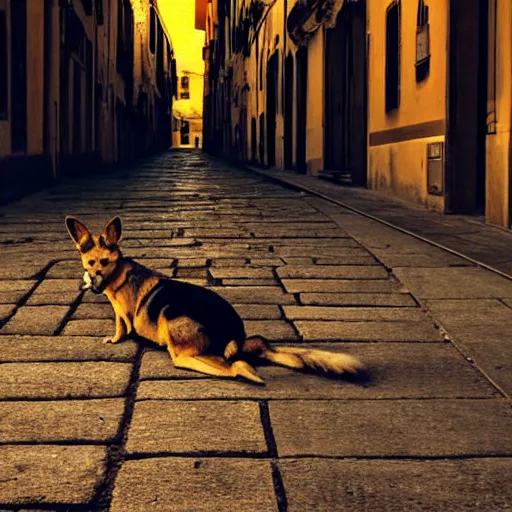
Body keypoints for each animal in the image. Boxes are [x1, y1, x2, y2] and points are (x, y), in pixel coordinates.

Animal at [66, 216, 366, 384]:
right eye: (90, 262)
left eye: (105, 262)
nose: (93, 284)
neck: (118, 273)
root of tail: (237, 337)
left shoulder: (122, 313)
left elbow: (121, 327)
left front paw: (115, 339)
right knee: (252, 351)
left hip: (170, 319)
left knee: (224, 366)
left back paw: (245, 373)